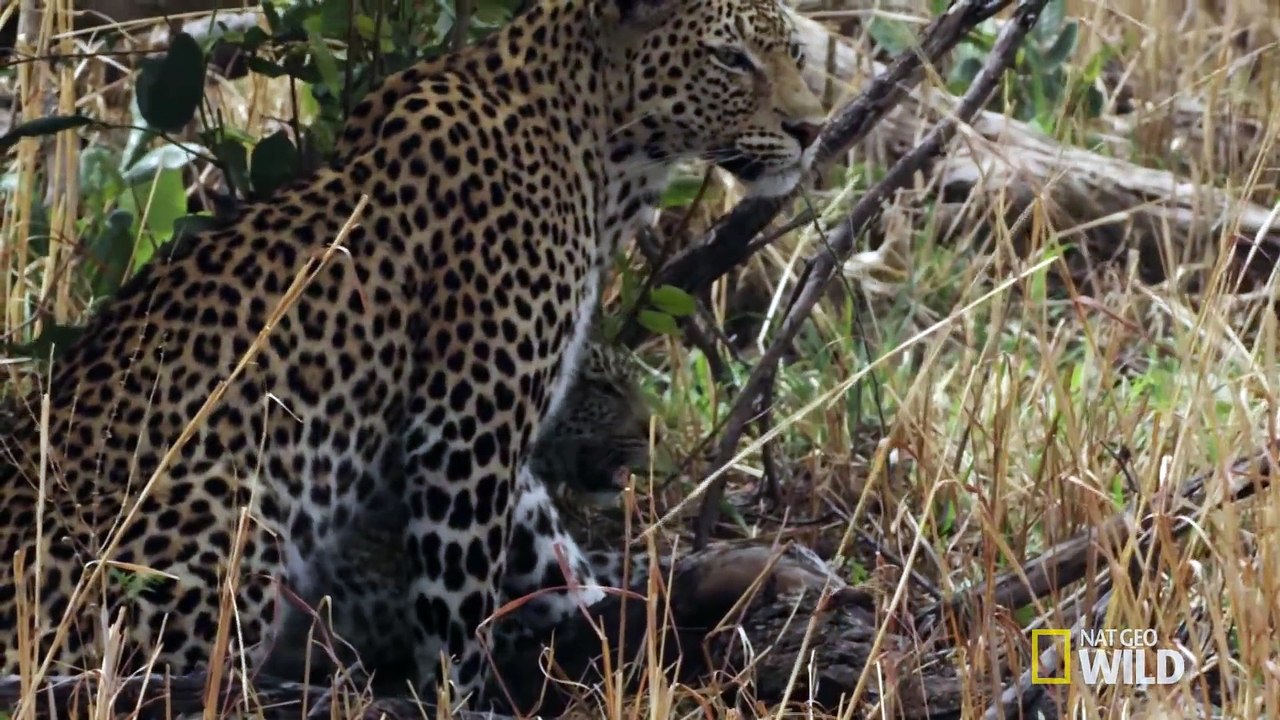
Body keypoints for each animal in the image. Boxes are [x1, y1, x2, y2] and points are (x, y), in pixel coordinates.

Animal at [0, 0, 825, 709]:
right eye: (730, 58)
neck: (601, 152)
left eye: (791, 51)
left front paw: (608, 605)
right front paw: (467, 697)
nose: (812, 129)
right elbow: (461, 600)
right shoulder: (466, 423)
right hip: (230, 515)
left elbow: (543, 538)